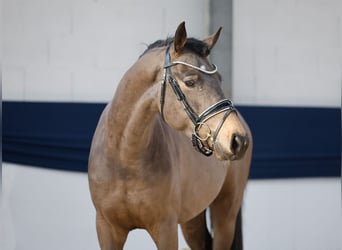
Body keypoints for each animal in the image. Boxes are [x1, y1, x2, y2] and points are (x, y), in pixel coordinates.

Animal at [89, 22, 252, 249]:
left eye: (219, 79)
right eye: (190, 82)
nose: (238, 139)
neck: (124, 158)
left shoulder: (165, 229)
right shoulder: (106, 228)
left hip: (225, 215)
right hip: (192, 218)